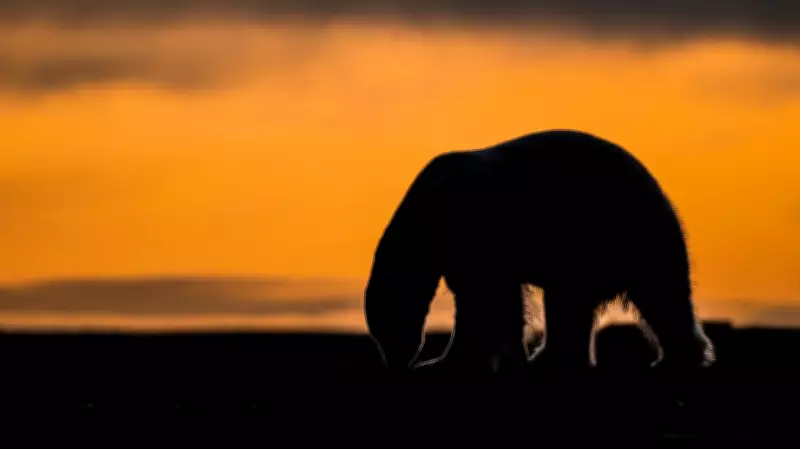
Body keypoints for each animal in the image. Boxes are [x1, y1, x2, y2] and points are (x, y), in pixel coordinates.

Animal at [364, 129, 715, 380]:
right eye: (378, 334)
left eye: (389, 326)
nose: (395, 363)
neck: (428, 215)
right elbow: (497, 301)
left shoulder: (473, 226)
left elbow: (484, 299)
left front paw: (444, 361)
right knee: (572, 303)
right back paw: (551, 360)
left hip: (626, 233)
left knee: (660, 294)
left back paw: (675, 360)